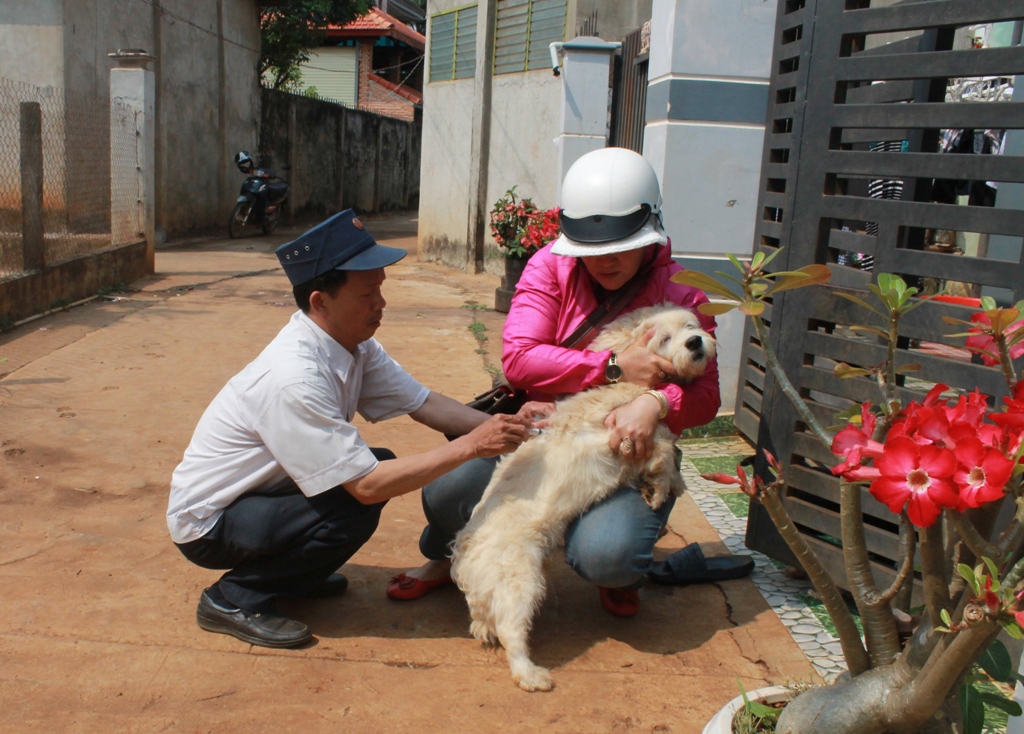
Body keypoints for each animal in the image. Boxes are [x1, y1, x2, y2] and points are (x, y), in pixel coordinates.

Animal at [452, 305, 716, 692]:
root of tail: (465, 558)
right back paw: (531, 675)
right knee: (512, 634)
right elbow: (664, 449)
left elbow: (667, 442)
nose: (696, 342)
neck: (626, 387)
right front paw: (664, 487)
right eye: (666, 338)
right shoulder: (630, 437)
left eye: (691, 325)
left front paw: (665, 484)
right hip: (519, 583)